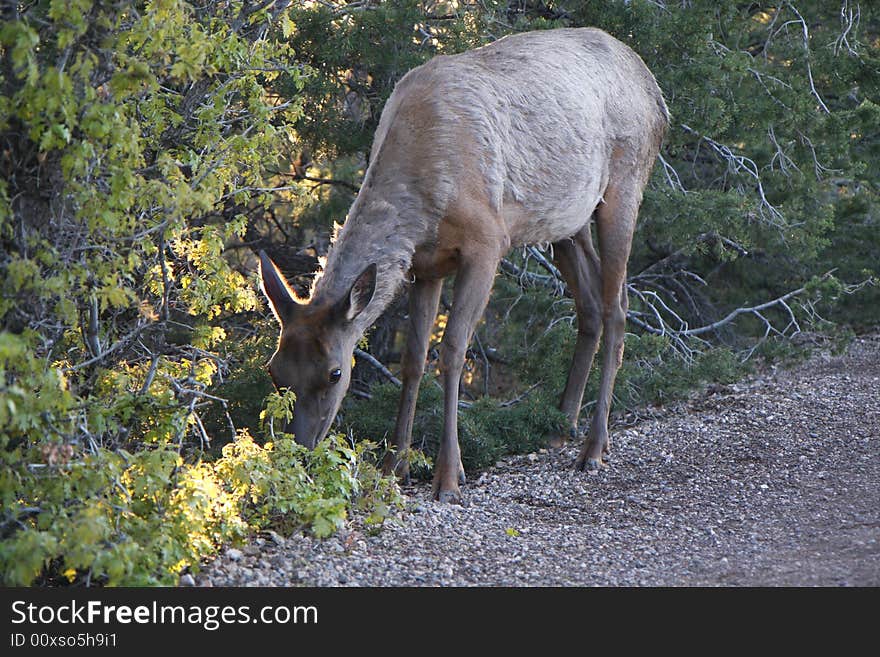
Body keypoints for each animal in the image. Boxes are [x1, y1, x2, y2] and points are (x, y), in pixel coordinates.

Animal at [258, 28, 672, 502]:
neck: (423, 200)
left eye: (334, 373)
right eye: (274, 370)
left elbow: (453, 350)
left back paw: (593, 447)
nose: (300, 448)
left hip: (625, 184)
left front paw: (448, 476)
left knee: (617, 307)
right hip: (568, 222)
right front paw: (394, 465)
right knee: (589, 303)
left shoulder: (488, 240)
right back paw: (560, 427)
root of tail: (654, 91)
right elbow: (414, 357)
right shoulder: (425, 264)